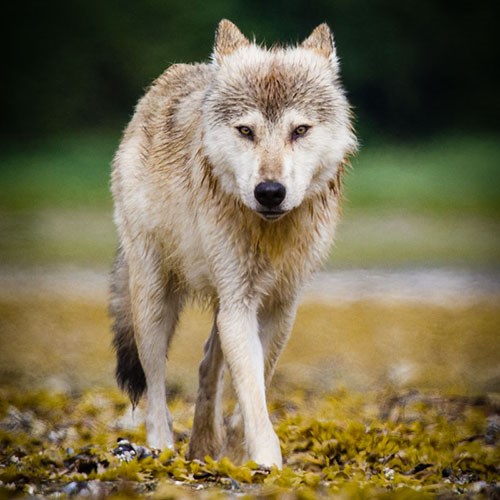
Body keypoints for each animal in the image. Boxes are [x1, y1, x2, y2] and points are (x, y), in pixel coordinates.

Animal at [111, 17, 358, 466]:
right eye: (246, 131)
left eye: (299, 130)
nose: (270, 192)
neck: (270, 232)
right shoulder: (239, 305)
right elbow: (252, 390)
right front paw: (267, 461)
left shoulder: (280, 306)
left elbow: (257, 382)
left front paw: (243, 454)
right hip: (155, 302)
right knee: (155, 386)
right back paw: (163, 449)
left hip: (218, 306)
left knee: (207, 365)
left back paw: (205, 447)